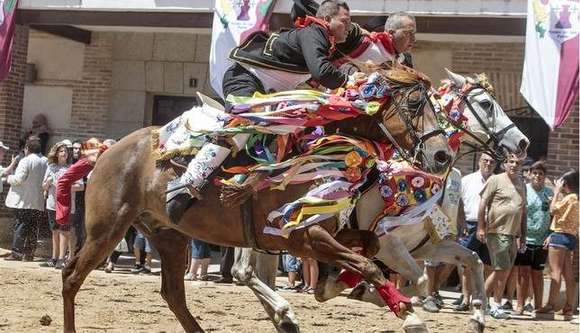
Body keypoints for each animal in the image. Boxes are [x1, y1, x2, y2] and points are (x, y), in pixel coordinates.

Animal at [63, 68, 454, 332]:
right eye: (415, 103)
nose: (441, 157)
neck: (319, 153)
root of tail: (107, 151)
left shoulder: (329, 232)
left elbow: (369, 250)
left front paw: (340, 286)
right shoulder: (303, 237)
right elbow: (369, 265)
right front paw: (405, 310)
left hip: (168, 235)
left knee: (173, 293)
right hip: (106, 228)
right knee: (71, 276)